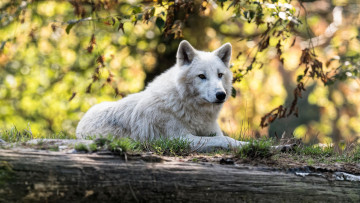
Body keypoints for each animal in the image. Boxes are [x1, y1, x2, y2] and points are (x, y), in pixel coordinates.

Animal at [76, 41, 248, 151]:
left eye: (219, 75)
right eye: (201, 76)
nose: (221, 95)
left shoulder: (210, 131)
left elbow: (228, 138)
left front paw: (244, 144)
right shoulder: (180, 138)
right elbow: (223, 139)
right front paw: (242, 145)